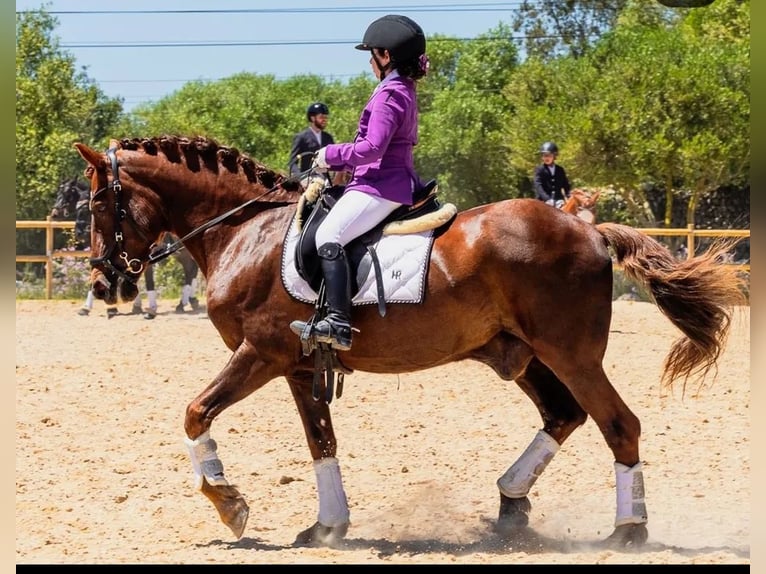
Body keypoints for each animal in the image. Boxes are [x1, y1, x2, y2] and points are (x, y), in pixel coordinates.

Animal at [50, 175, 202, 316]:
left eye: (67, 193)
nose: (80, 232)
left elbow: (147, 281)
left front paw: (147, 307)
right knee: (191, 269)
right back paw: (187, 302)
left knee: (191, 270)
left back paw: (184, 303)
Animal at [74, 135, 745, 549]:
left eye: (98, 202)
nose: (105, 284)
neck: (245, 231)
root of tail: (588, 229)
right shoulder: (299, 366)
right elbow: (321, 443)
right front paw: (328, 527)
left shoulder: (260, 354)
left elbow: (194, 413)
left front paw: (228, 503)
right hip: (520, 354)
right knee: (564, 415)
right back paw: (511, 506)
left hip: (571, 354)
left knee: (617, 424)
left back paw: (627, 531)